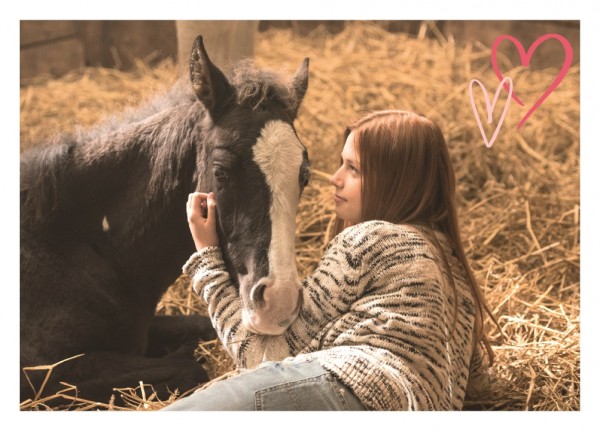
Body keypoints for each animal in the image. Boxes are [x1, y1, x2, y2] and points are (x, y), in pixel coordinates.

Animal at [19, 34, 310, 408]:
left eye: (304, 175)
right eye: (221, 172)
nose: (278, 303)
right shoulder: (48, 375)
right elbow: (190, 368)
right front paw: (186, 354)